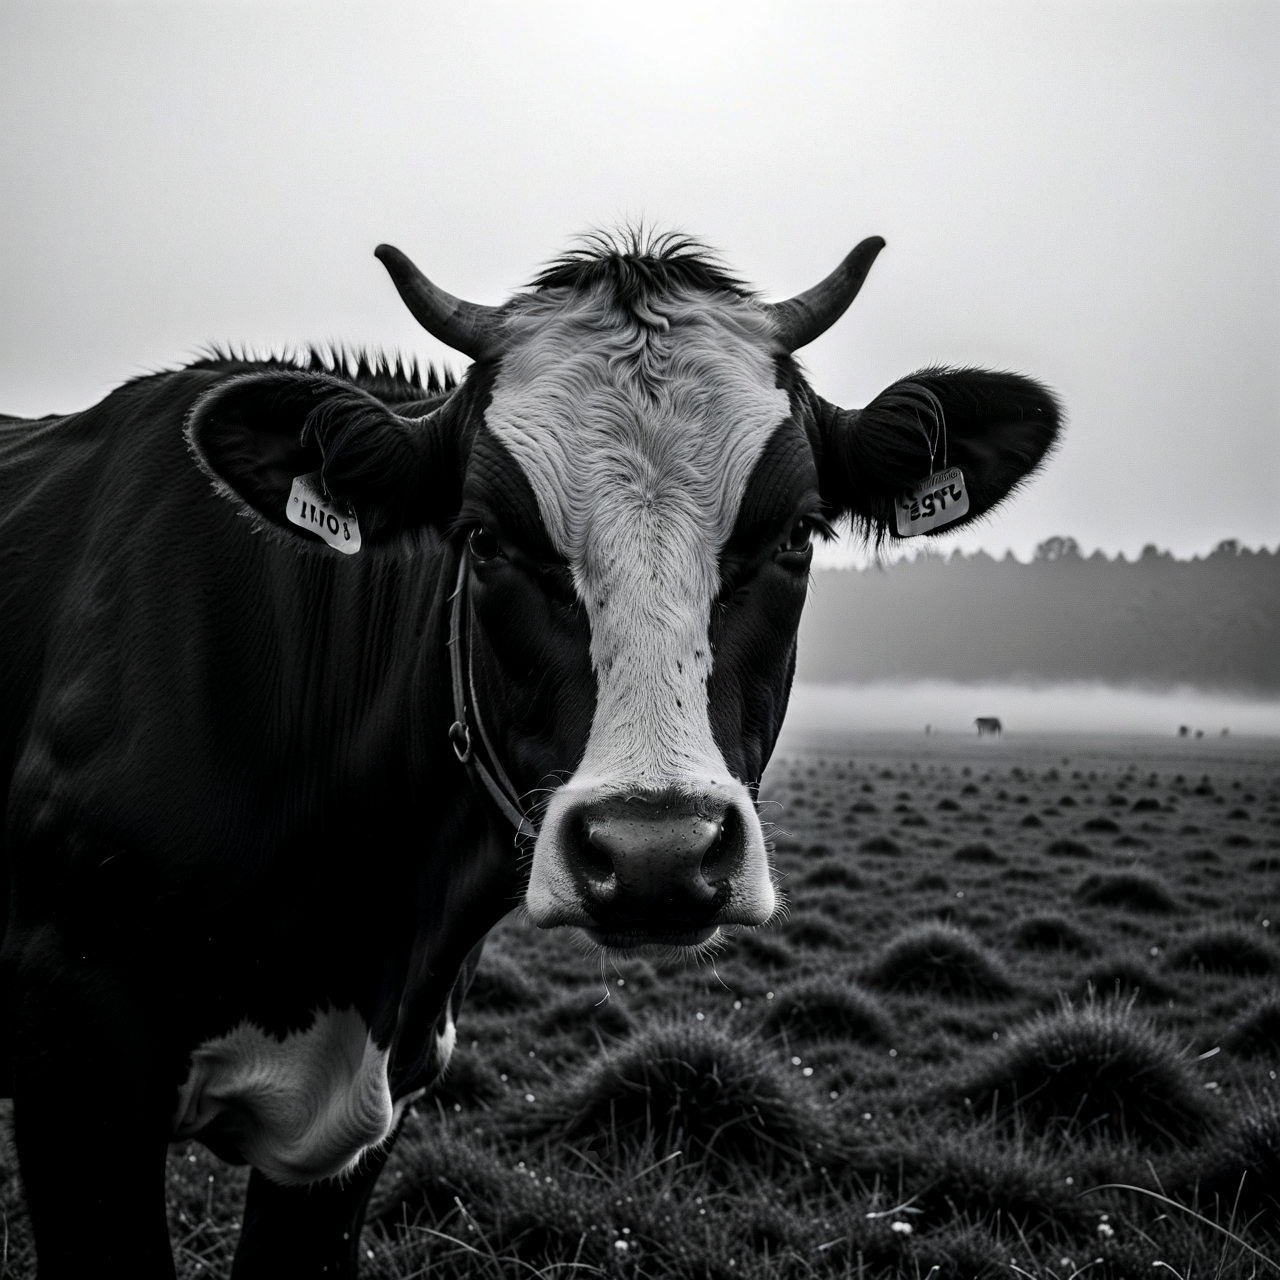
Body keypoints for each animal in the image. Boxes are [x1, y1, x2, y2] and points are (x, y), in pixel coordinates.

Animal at [0, 229, 1060, 1276]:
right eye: (484, 539)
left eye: (798, 534)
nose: (655, 854)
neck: (363, 921)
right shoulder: (77, 1075)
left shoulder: (358, 1120)